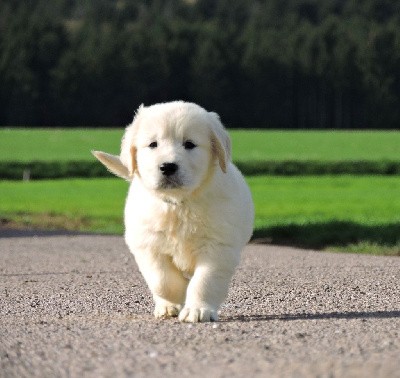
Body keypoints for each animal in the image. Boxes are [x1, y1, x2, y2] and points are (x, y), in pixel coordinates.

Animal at [93, 102, 253, 324]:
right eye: (153, 144)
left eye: (189, 144)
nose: (167, 167)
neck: (178, 204)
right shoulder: (148, 244)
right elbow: (162, 280)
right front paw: (177, 297)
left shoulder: (217, 247)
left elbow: (204, 281)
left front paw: (197, 309)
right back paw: (167, 307)